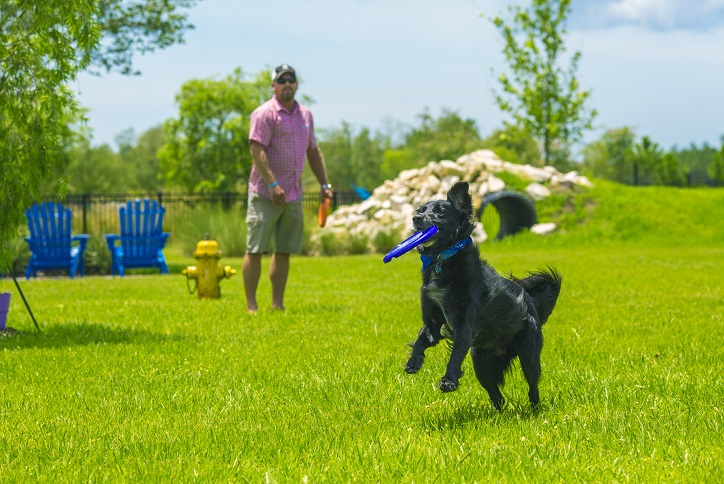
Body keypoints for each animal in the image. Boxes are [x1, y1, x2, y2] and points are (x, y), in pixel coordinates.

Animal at [404, 183, 564, 410]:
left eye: (440, 212)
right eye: (421, 210)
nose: (416, 218)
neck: (443, 259)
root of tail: (529, 300)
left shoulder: (465, 323)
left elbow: (455, 354)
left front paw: (448, 381)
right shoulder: (433, 321)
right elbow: (420, 339)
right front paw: (413, 362)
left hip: (528, 353)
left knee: (533, 385)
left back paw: (534, 410)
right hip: (480, 360)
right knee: (497, 395)